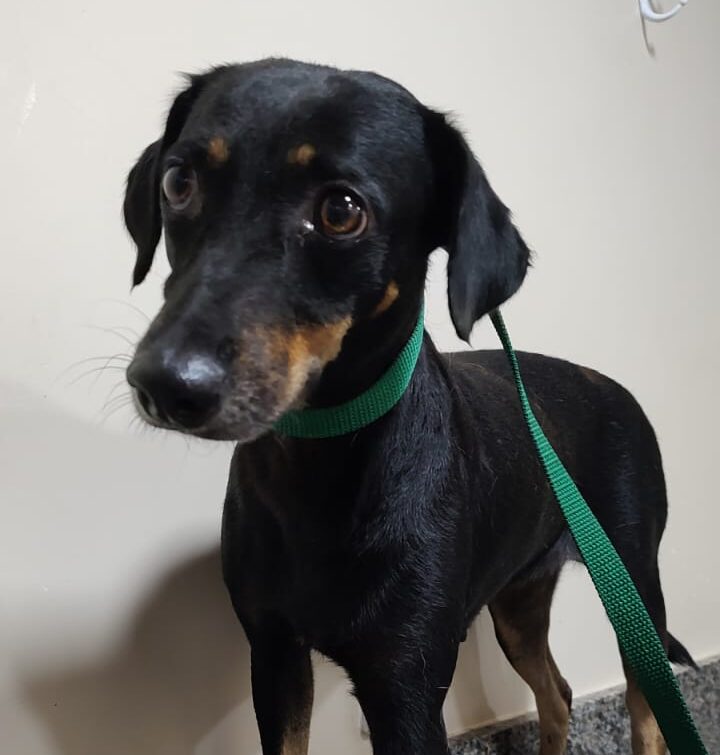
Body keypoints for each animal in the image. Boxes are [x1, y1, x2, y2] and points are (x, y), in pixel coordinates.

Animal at [123, 59, 695, 755]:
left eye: (342, 211)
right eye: (178, 181)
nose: (165, 384)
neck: (319, 457)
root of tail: (614, 386)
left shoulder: (408, 684)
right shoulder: (275, 653)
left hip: (636, 593)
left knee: (646, 712)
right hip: (517, 601)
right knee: (556, 693)